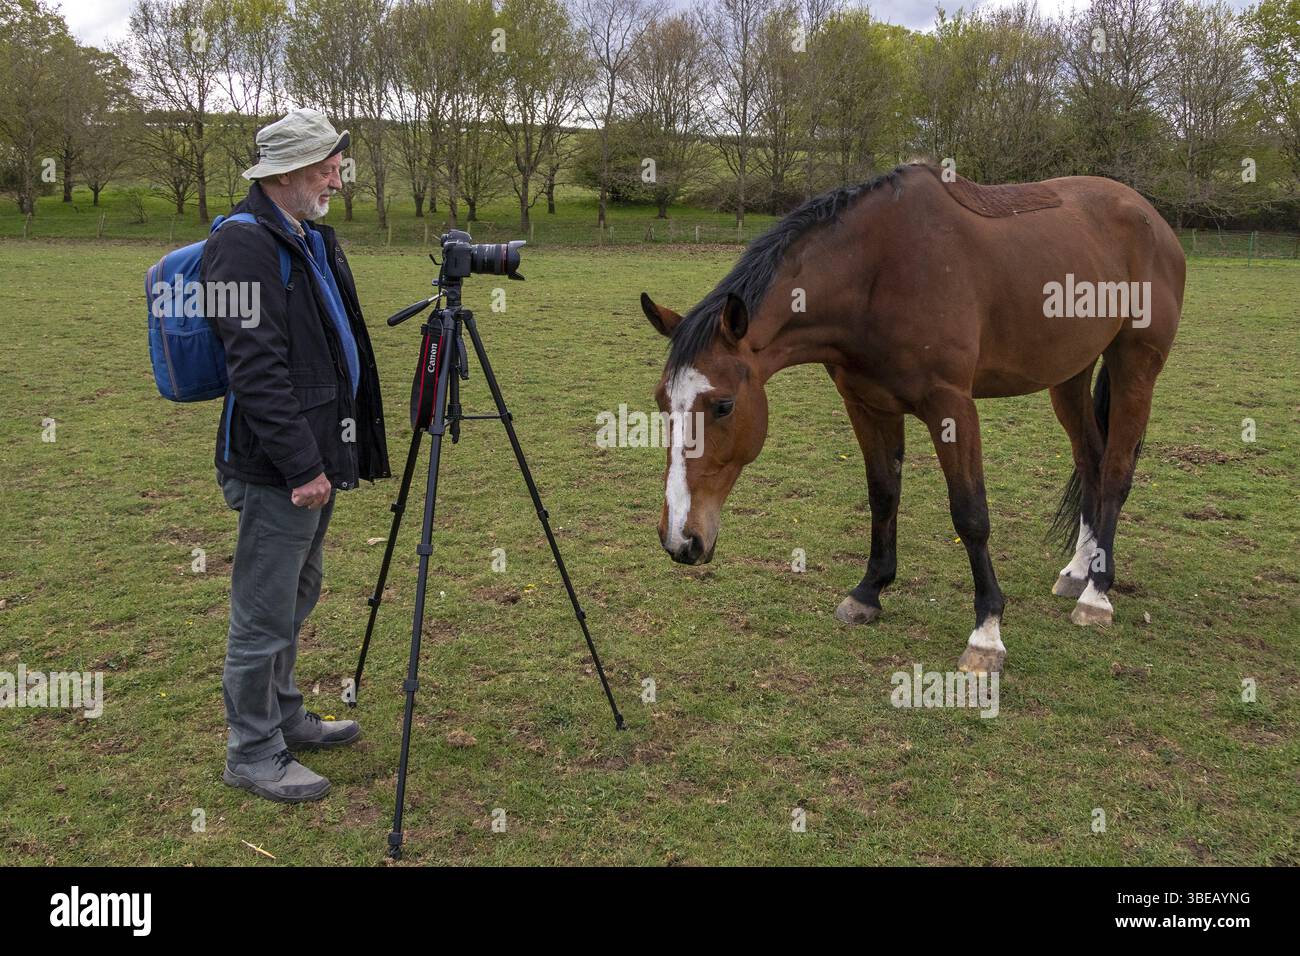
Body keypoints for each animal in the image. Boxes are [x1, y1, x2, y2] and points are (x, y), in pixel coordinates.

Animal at [641, 162, 1184, 673]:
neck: (877, 273)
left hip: (1135, 366)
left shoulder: (952, 407)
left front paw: (987, 633)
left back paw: (1097, 593)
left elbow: (970, 514)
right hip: (1069, 375)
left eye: (724, 405)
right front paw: (868, 592)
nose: (680, 539)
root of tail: (1152, 217)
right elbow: (883, 495)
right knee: (1091, 463)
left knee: (1115, 474)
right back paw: (1077, 570)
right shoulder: (867, 405)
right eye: (662, 401)